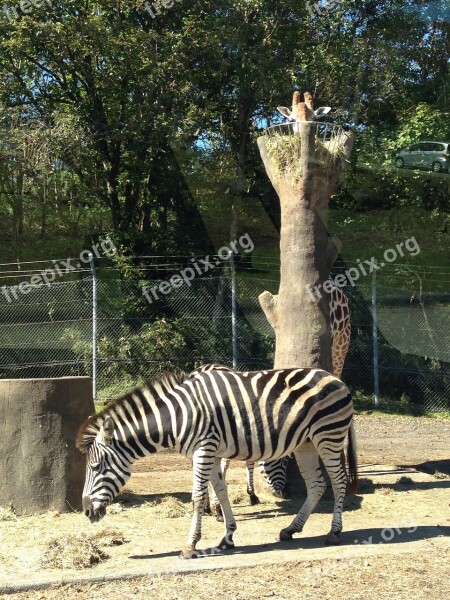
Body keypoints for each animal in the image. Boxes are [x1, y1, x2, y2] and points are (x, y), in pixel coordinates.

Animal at [78, 366, 358, 556]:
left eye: (96, 467)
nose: (87, 511)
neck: (176, 417)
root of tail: (337, 379)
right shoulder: (209, 452)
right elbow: (221, 492)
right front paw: (228, 537)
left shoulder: (204, 449)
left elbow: (197, 497)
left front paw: (190, 544)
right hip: (305, 444)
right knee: (317, 484)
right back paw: (290, 529)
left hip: (328, 436)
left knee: (338, 481)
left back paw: (334, 532)